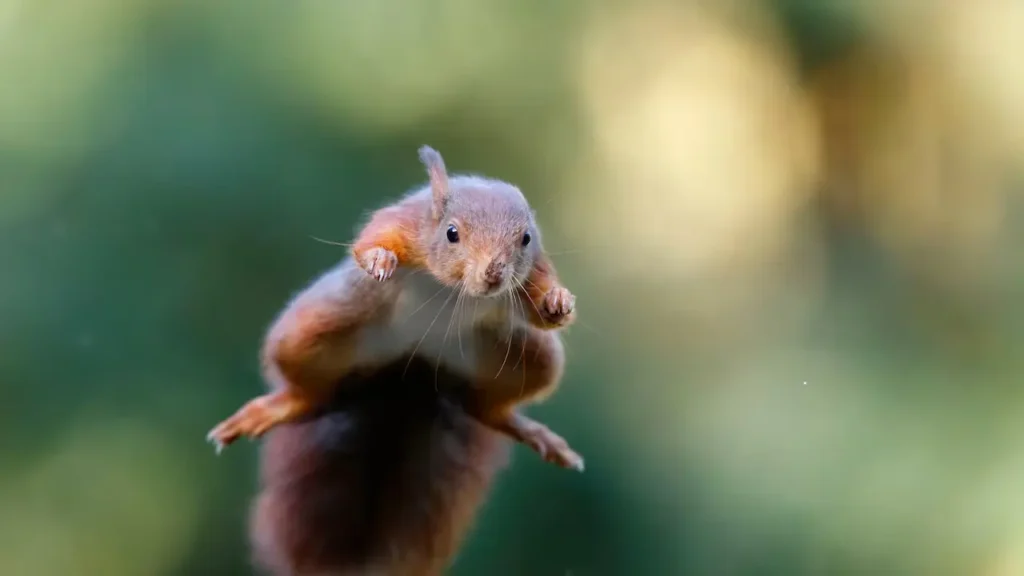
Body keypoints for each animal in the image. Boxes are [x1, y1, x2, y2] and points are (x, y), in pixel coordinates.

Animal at [207, 145, 583, 576]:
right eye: (451, 232)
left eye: (525, 238)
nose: (493, 275)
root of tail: (408, 371)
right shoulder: (405, 223)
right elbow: (374, 235)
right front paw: (378, 259)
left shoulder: (534, 267)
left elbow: (540, 307)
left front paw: (557, 301)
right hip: (309, 333)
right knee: (309, 394)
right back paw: (276, 407)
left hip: (527, 359)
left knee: (485, 409)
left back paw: (531, 432)